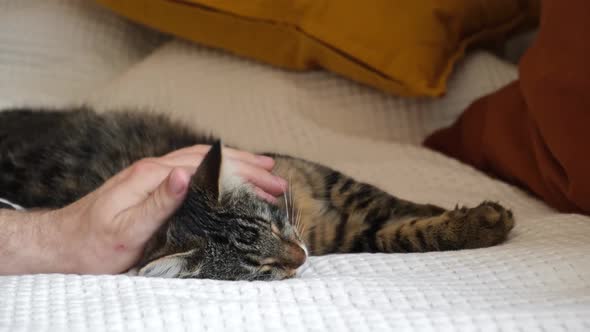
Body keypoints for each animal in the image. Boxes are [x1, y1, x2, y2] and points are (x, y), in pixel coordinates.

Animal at [0, 107, 516, 280]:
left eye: (273, 224)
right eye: (260, 268)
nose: (301, 257)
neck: (306, 219)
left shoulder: (330, 182)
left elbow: (396, 205)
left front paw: (460, 212)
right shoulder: (352, 230)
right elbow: (405, 233)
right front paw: (482, 222)